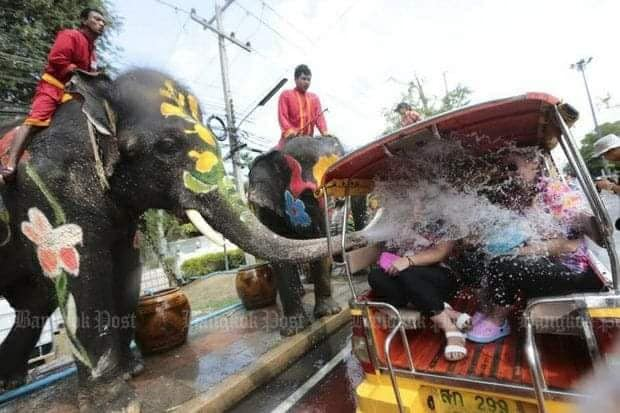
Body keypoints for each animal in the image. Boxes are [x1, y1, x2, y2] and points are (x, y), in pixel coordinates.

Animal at [247, 137, 364, 336]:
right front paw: (293, 330)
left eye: (341, 196)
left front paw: (328, 313)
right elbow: (278, 255)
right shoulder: (267, 210)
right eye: (308, 196)